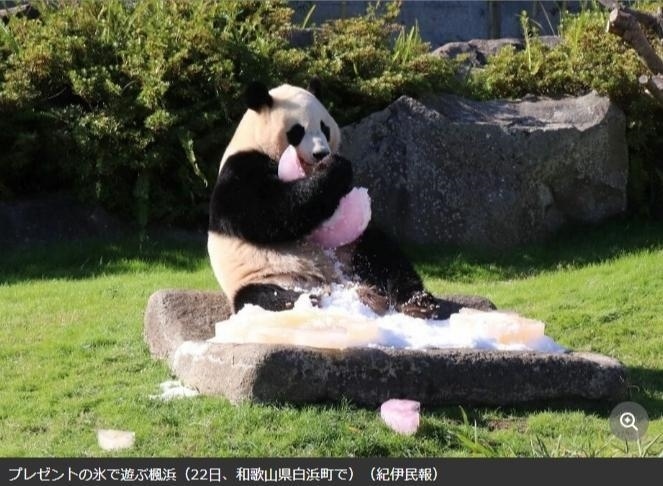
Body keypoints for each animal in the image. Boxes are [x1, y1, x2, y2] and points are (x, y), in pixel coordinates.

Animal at [208, 80, 441, 318]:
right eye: (297, 131)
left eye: (324, 128)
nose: (321, 153)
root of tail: (337, 283)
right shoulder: (240, 169)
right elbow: (266, 211)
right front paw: (333, 168)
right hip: (265, 275)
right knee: (261, 297)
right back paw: (312, 300)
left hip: (350, 251)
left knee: (383, 254)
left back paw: (417, 302)